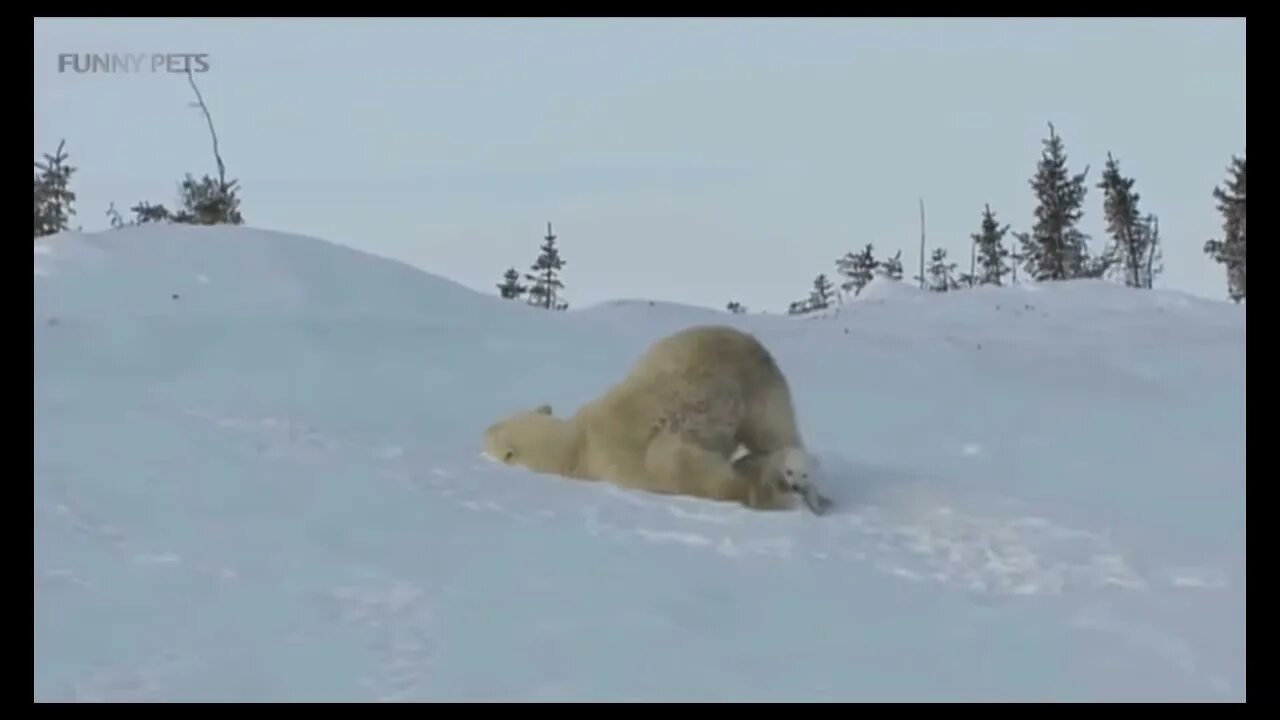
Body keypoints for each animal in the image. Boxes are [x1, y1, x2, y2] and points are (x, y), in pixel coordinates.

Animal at [481, 325, 829, 509]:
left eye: (493, 431)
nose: (482, 430)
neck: (579, 445)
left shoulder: (621, 455)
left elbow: (676, 464)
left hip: (757, 388)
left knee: (774, 430)